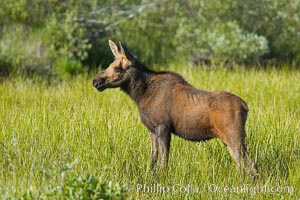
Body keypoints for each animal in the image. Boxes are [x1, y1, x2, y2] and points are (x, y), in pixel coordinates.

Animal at [92, 39, 258, 176]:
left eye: (117, 68)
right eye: (110, 65)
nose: (96, 81)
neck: (140, 95)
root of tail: (245, 107)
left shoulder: (163, 127)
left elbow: (163, 162)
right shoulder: (152, 130)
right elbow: (153, 159)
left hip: (234, 136)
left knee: (249, 165)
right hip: (229, 139)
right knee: (245, 165)